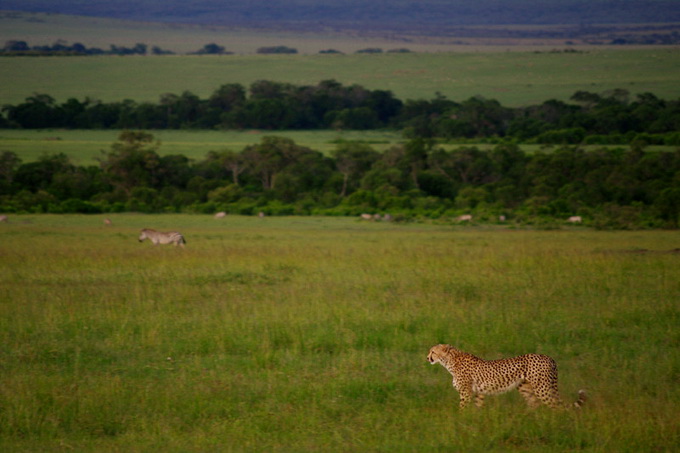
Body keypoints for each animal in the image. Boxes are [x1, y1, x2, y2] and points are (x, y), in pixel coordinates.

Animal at [428, 342, 588, 410]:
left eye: (433, 352)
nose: (427, 357)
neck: (450, 361)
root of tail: (549, 357)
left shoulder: (466, 393)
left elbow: (462, 408)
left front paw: (462, 419)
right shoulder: (479, 393)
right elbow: (478, 408)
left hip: (542, 388)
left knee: (555, 405)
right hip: (524, 387)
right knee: (534, 404)